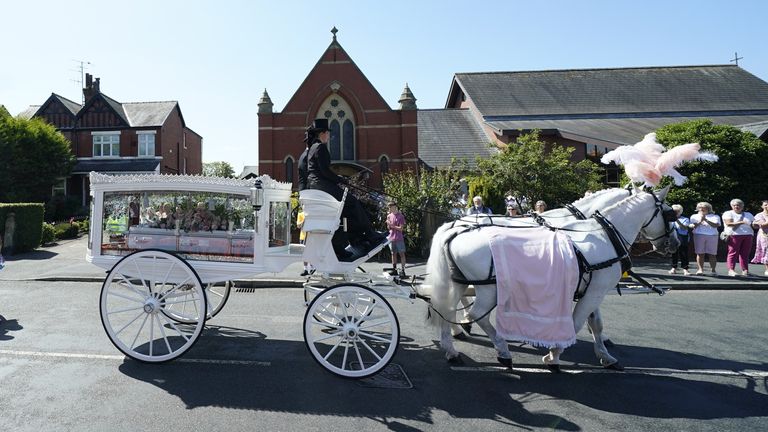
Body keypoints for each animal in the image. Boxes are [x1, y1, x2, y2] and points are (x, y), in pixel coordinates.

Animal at [424, 186, 680, 372]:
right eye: (670, 213)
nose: (674, 244)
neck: (602, 234)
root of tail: (454, 227)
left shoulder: (591, 288)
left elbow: (595, 323)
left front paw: (605, 355)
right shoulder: (595, 290)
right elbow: (577, 322)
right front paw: (554, 354)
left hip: (457, 282)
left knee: (446, 308)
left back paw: (453, 347)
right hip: (489, 289)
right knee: (478, 314)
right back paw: (501, 350)